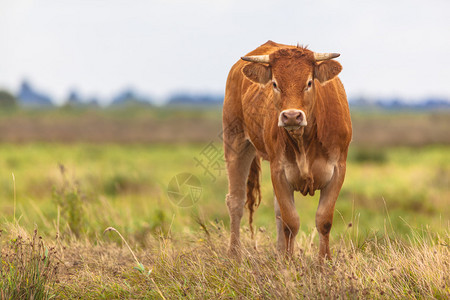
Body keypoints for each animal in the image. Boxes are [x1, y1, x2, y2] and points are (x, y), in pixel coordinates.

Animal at [223, 40, 354, 260]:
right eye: (275, 84)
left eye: (309, 82)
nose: (292, 116)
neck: (304, 141)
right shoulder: (279, 171)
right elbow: (291, 222)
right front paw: (289, 262)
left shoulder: (338, 170)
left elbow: (323, 220)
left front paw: (324, 262)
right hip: (235, 143)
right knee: (236, 201)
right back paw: (233, 255)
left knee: (276, 213)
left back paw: (277, 252)